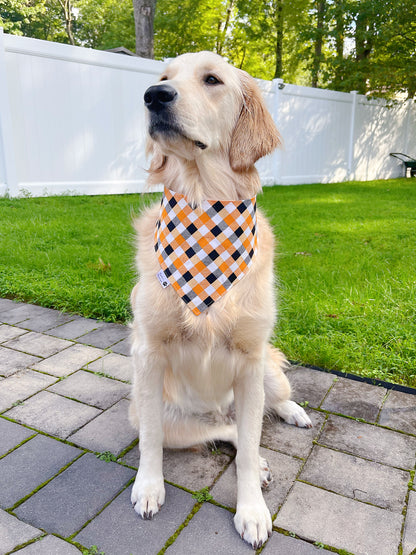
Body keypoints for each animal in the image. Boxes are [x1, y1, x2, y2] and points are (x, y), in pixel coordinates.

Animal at [130, 52, 312, 552]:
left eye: (212, 79)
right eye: (163, 78)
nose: (153, 97)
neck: (203, 204)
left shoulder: (249, 359)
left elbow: (248, 452)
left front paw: (251, 512)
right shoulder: (148, 356)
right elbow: (152, 440)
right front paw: (148, 487)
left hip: (265, 371)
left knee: (270, 407)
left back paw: (294, 413)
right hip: (167, 412)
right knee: (225, 430)